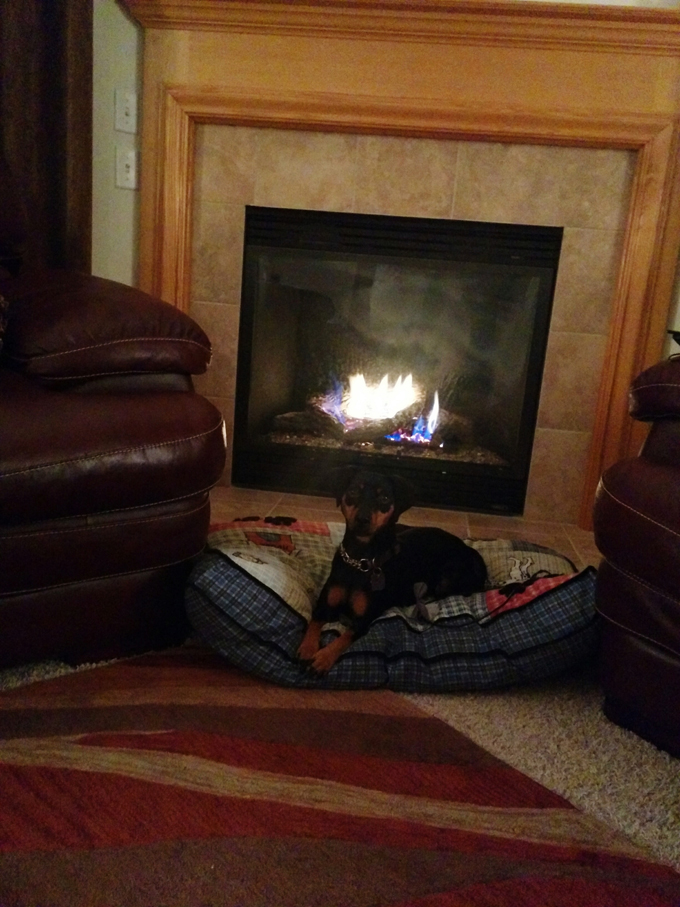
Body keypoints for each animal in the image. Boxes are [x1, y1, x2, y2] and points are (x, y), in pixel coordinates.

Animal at [298, 468, 488, 672]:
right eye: (353, 491)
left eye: (385, 498)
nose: (362, 519)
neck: (361, 559)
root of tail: (469, 550)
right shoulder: (325, 602)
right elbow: (315, 620)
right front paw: (307, 649)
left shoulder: (364, 619)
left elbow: (345, 637)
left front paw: (323, 658)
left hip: (446, 581)